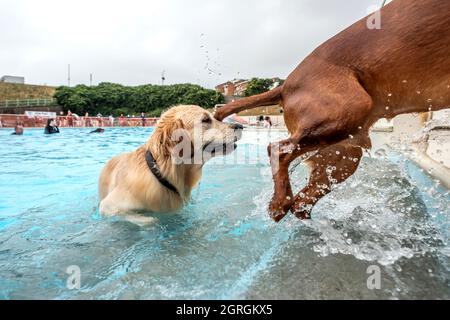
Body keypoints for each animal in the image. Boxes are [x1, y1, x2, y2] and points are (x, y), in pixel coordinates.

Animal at [215, 0, 450, 222]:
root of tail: (285, 85)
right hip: (349, 108)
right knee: (278, 150)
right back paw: (280, 203)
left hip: (345, 155)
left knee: (301, 202)